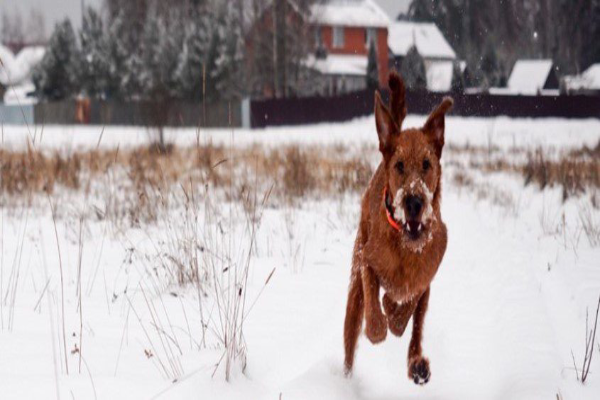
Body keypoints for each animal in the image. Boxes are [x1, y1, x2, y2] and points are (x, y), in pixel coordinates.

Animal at [342, 71, 450, 384]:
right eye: (400, 165)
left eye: (427, 164)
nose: (414, 202)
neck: (405, 244)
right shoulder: (367, 258)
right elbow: (374, 303)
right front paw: (380, 324)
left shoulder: (428, 275)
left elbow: (409, 310)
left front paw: (394, 309)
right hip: (353, 295)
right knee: (351, 341)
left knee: (415, 329)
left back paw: (417, 365)